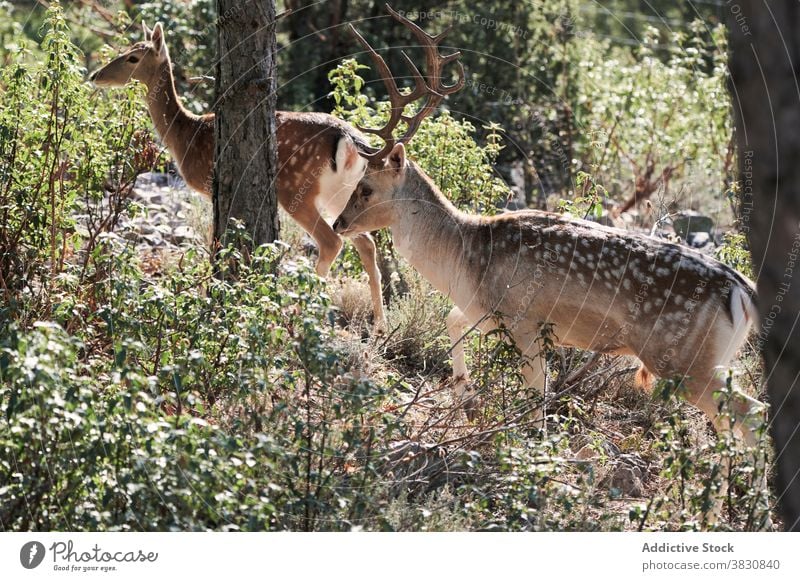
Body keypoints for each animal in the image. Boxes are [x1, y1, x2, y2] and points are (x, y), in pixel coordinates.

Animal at [332, 9, 768, 524]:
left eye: (366, 188)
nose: (338, 223)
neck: (466, 257)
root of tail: (741, 290)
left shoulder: (524, 320)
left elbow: (534, 395)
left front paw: (530, 463)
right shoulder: (492, 314)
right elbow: (452, 323)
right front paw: (464, 394)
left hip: (682, 359)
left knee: (751, 415)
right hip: (715, 360)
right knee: (736, 422)